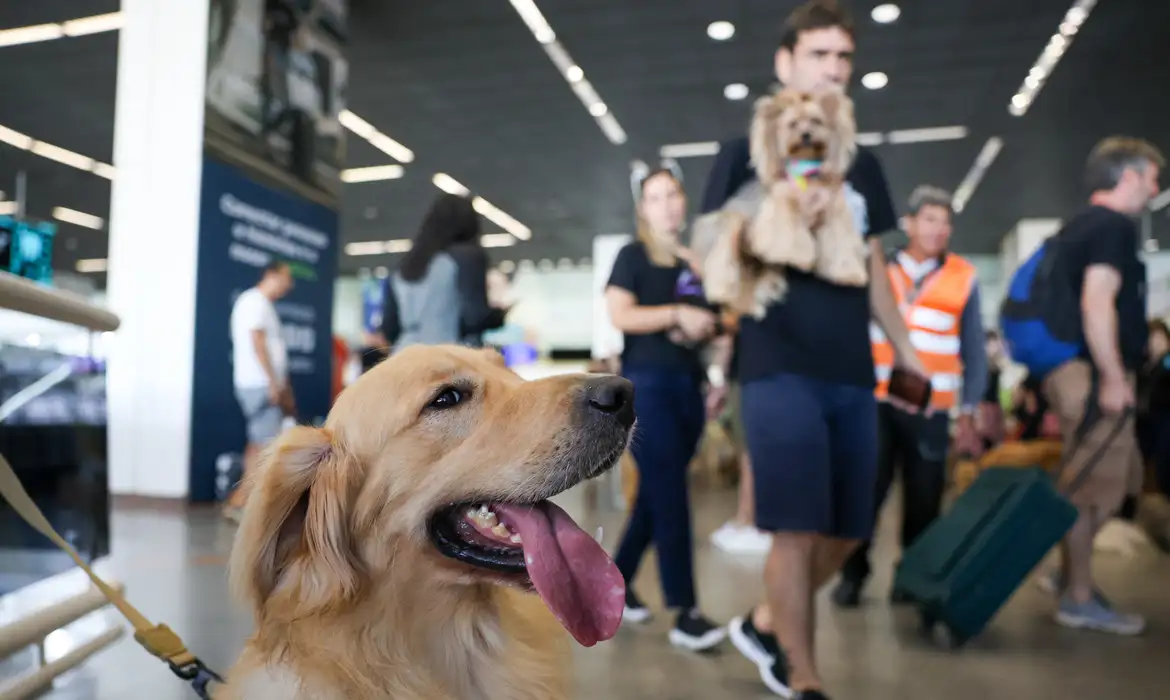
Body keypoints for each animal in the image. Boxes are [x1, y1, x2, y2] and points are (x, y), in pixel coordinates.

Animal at [697, 86, 865, 320]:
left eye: (816, 121)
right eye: (792, 124)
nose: (806, 134)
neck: (806, 168)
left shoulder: (833, 212)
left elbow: (840, 243)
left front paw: (848, 273)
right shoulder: (782, 205)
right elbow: (789, 236)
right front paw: (799, 257)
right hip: (732, 225)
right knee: (723, 263)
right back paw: (722, 289)